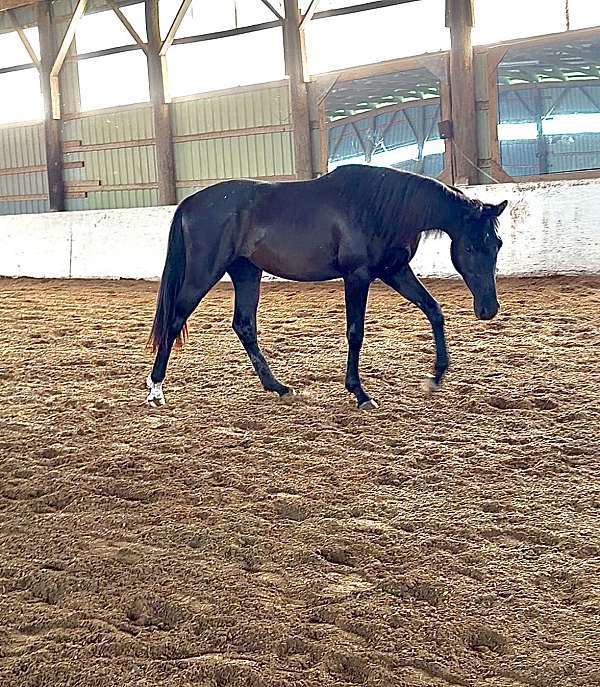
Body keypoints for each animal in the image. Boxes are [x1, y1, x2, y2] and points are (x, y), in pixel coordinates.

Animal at [146, 164, 507, 409]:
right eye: (470, 247)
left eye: (497, 244)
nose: (488, 309)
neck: (379, 208)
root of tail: (189, 203)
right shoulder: (357, 276)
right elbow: (355, 332)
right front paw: (360, 393)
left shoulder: (394, 271)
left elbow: (434, 310)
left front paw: (436, 377)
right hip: (203, 273)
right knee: (175, 319)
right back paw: (156, 390)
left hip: (246, 272)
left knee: (244, 325)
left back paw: (278, 387)